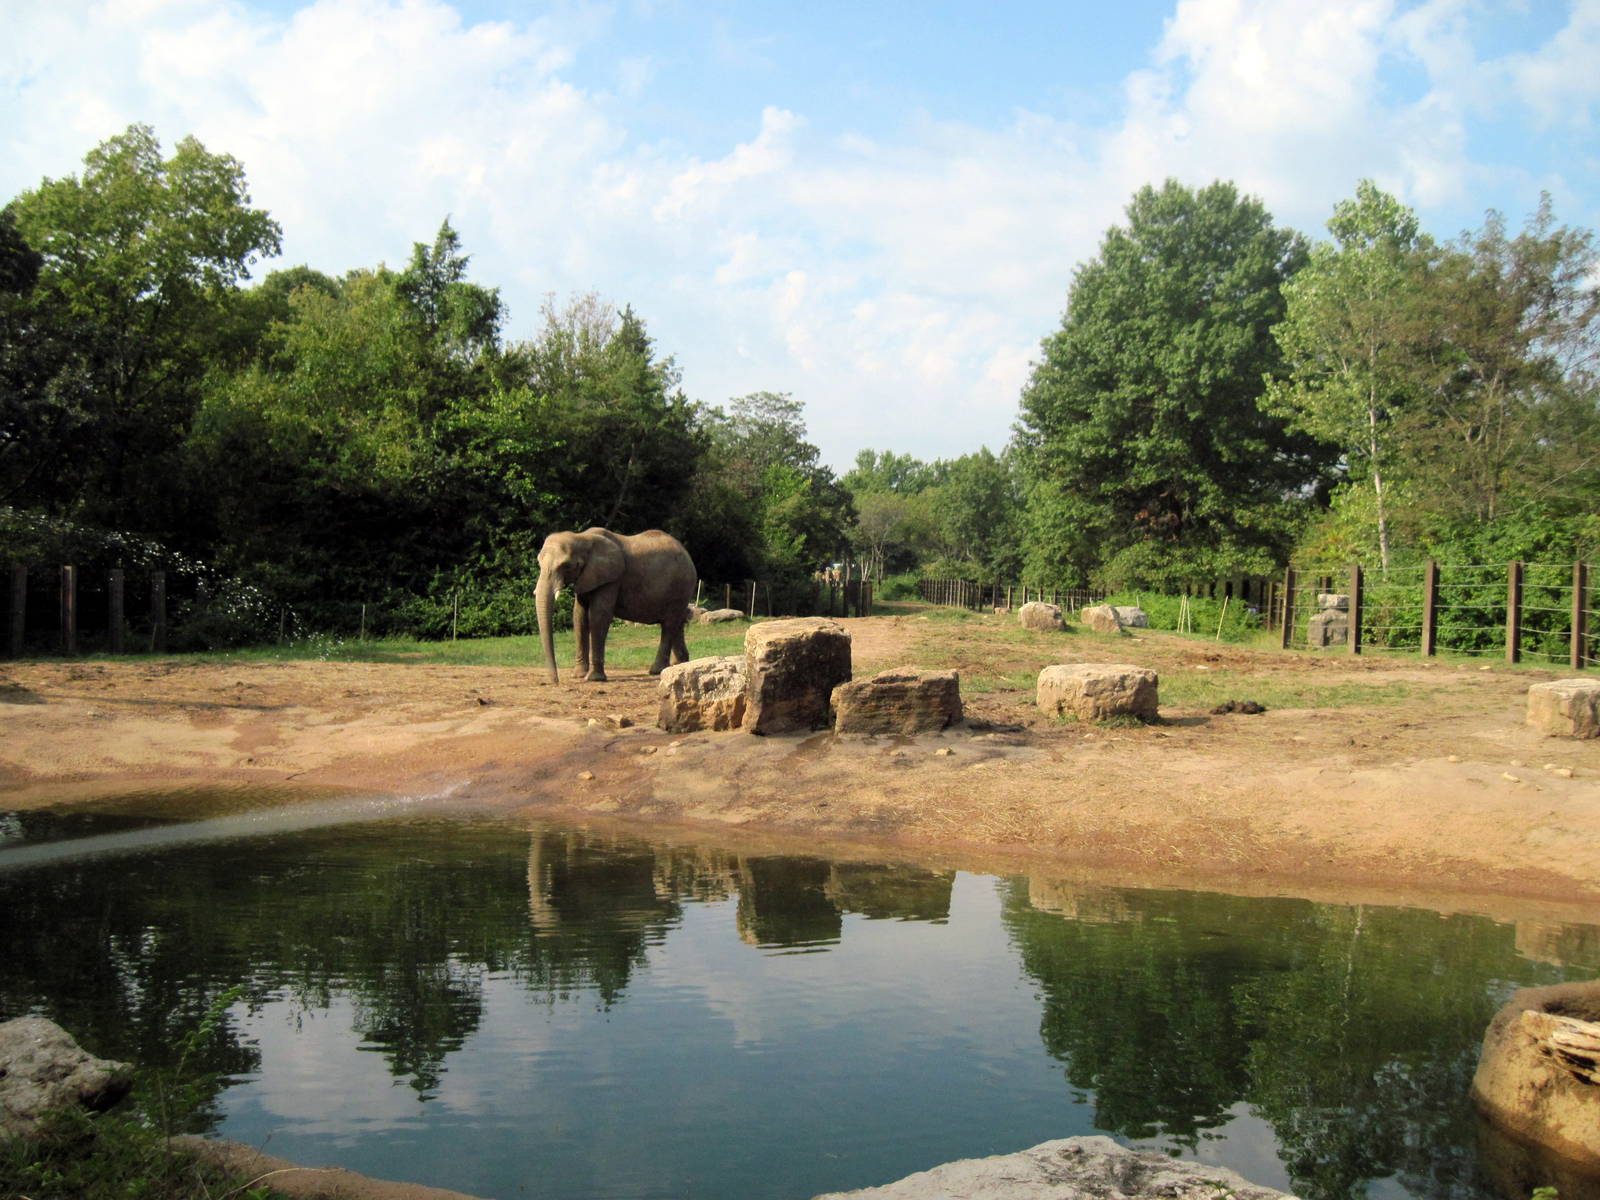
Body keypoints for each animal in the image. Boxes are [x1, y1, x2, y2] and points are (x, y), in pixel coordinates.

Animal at [535, 527, 697, 684]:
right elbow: (579, 616)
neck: (582, 537)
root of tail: (687, 554)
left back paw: (656, 670)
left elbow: (599, 616)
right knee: (677, 623)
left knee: (669, 624)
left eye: (566, 565)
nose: (556, 681)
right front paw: (578, 675)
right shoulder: (587, 577)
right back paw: (679, 664)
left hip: (680, 586)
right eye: (539, 563)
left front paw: (594, 679)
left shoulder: (611, 579)